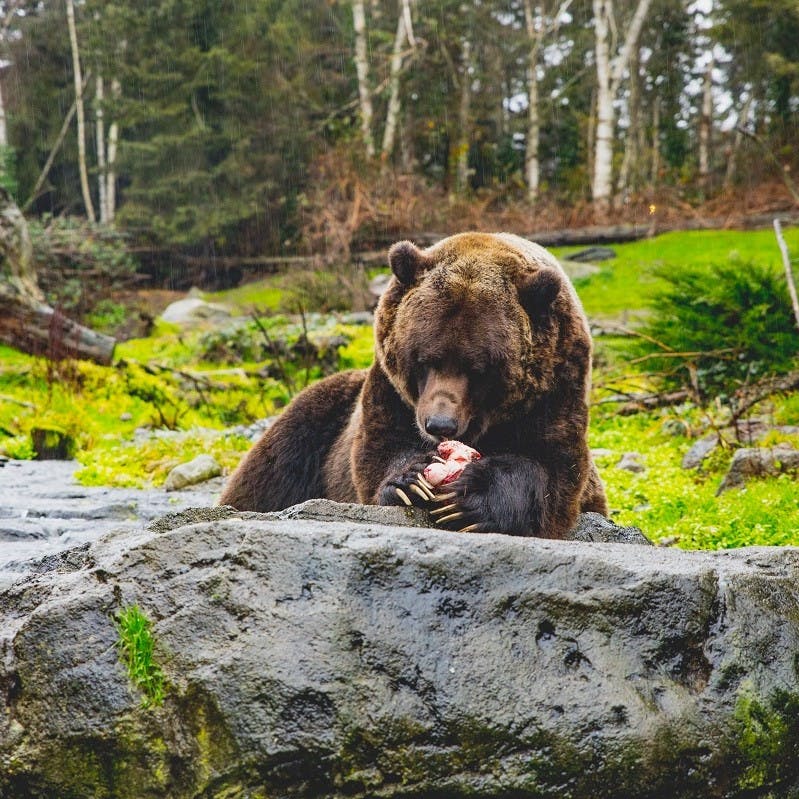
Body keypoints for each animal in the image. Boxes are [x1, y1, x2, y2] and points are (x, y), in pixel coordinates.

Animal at [219, 234, 608, 540]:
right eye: (424, 359)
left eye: (479, 369)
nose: (439, 425)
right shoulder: (389, 395)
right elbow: (380, 453)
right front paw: (412, 480)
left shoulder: (556, 390)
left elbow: (550, 469)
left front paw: (468, 499)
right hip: (316, 421)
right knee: (269, 474)